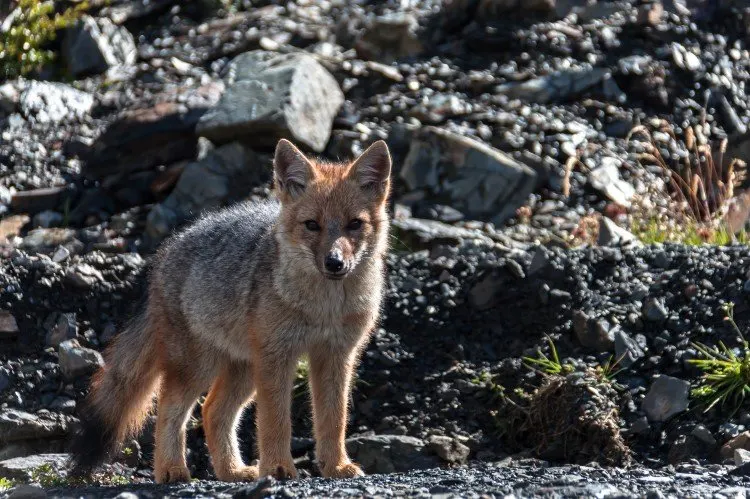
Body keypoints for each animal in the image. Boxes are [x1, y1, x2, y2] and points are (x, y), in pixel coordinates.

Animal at [70, 139, 394, 482]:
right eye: (312, 225)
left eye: (354, 224)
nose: (334, 263)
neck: (324, 307)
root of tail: (166, 252)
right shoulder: (278, 357)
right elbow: (275, 421)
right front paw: (277, 468)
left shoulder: (336, 355)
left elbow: (334, 420)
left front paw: (336, 466)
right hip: (200, 368)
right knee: (169, 411)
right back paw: (172, 469)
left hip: (244, 369)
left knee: (212, 411)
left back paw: (231, 471)